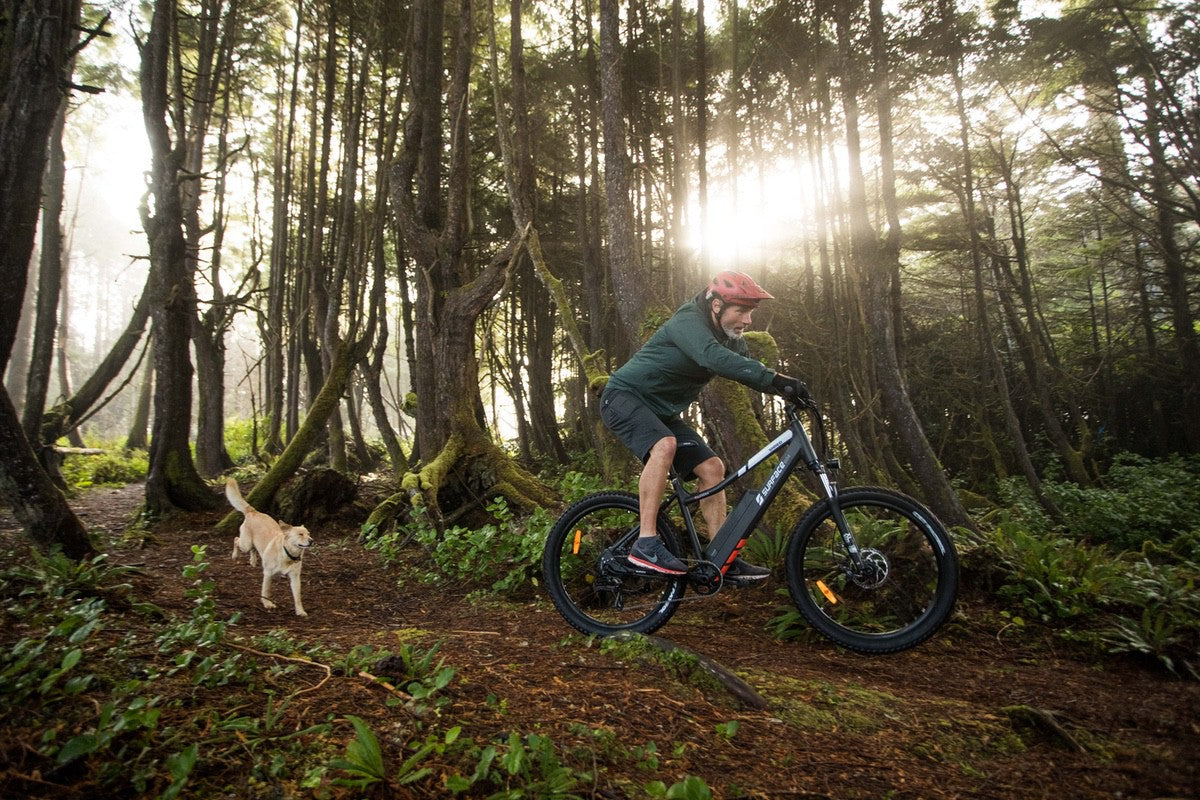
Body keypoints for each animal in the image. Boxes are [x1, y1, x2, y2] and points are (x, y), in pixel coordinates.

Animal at [224, 479, 309, 618]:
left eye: (308, 533)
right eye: (300, 534)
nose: (312, 540)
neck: (287, 554)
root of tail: (253, 511)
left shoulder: (295, 577)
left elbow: (297, 596)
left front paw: (300, 610)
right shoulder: (268, 573)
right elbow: (266, 590)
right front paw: (267, 604)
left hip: (252, 544)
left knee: (254, 549)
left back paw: (253, 560)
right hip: (245, 544)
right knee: (236, 540)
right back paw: (235, 555)